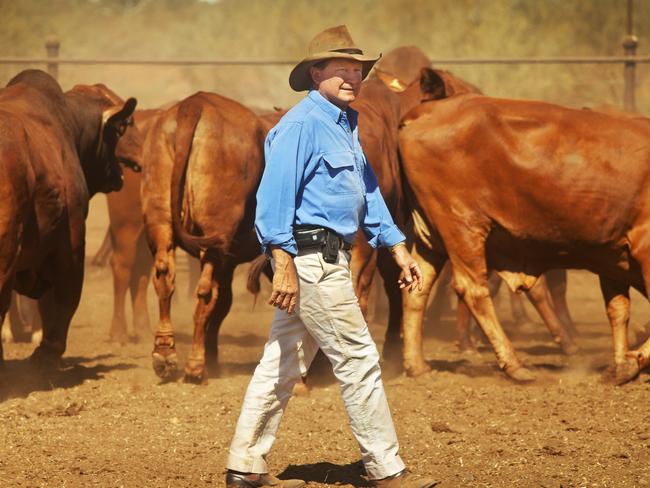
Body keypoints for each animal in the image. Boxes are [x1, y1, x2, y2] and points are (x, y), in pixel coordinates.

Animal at [142, 90, 264, 382]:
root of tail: (195, 104)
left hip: (159, 218)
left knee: (164, 277)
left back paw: (165, 352)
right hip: (215, 238)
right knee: (206, 293)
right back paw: (196, 364)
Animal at [398, 68, 644, 384]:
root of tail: (422, 114)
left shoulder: (612, 255)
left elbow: (617, 306)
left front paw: (624, 362)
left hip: (433, 234)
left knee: (419, 286)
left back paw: (418, 365)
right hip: (462, 227)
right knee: (473, 288)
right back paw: (515, 363)